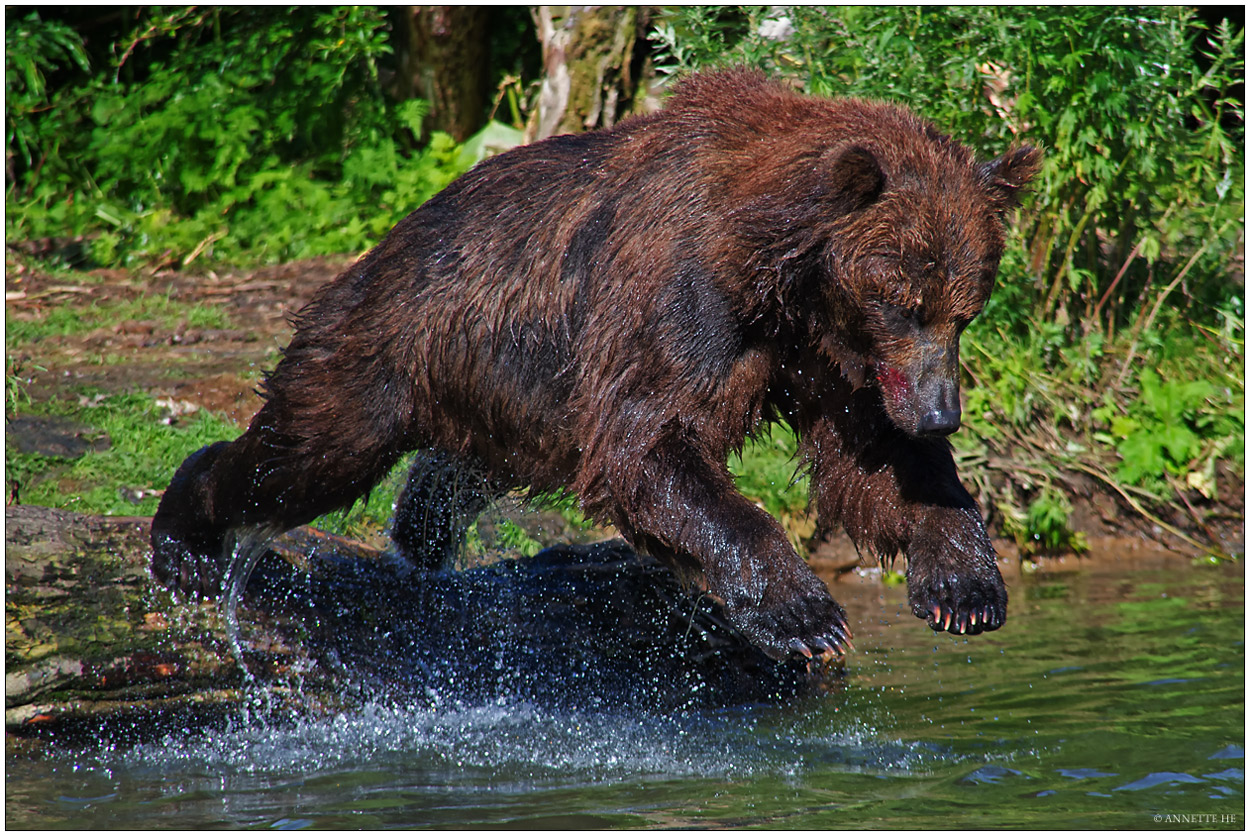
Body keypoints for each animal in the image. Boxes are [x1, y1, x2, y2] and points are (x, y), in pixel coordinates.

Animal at [151, 69, 1040, 659]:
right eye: (902, 299)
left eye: (967, 307)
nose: (942, 412)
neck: (777, 275)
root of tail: (378, 252)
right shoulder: (680, 299)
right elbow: (646, 443)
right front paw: (804, 613)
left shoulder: (825, 359)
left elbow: (873, 461)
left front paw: (963, 584)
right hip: (385, 355)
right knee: (300, 455)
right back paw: (185, 540)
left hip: (507, 394)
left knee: (449, 470)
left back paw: (422, 536)